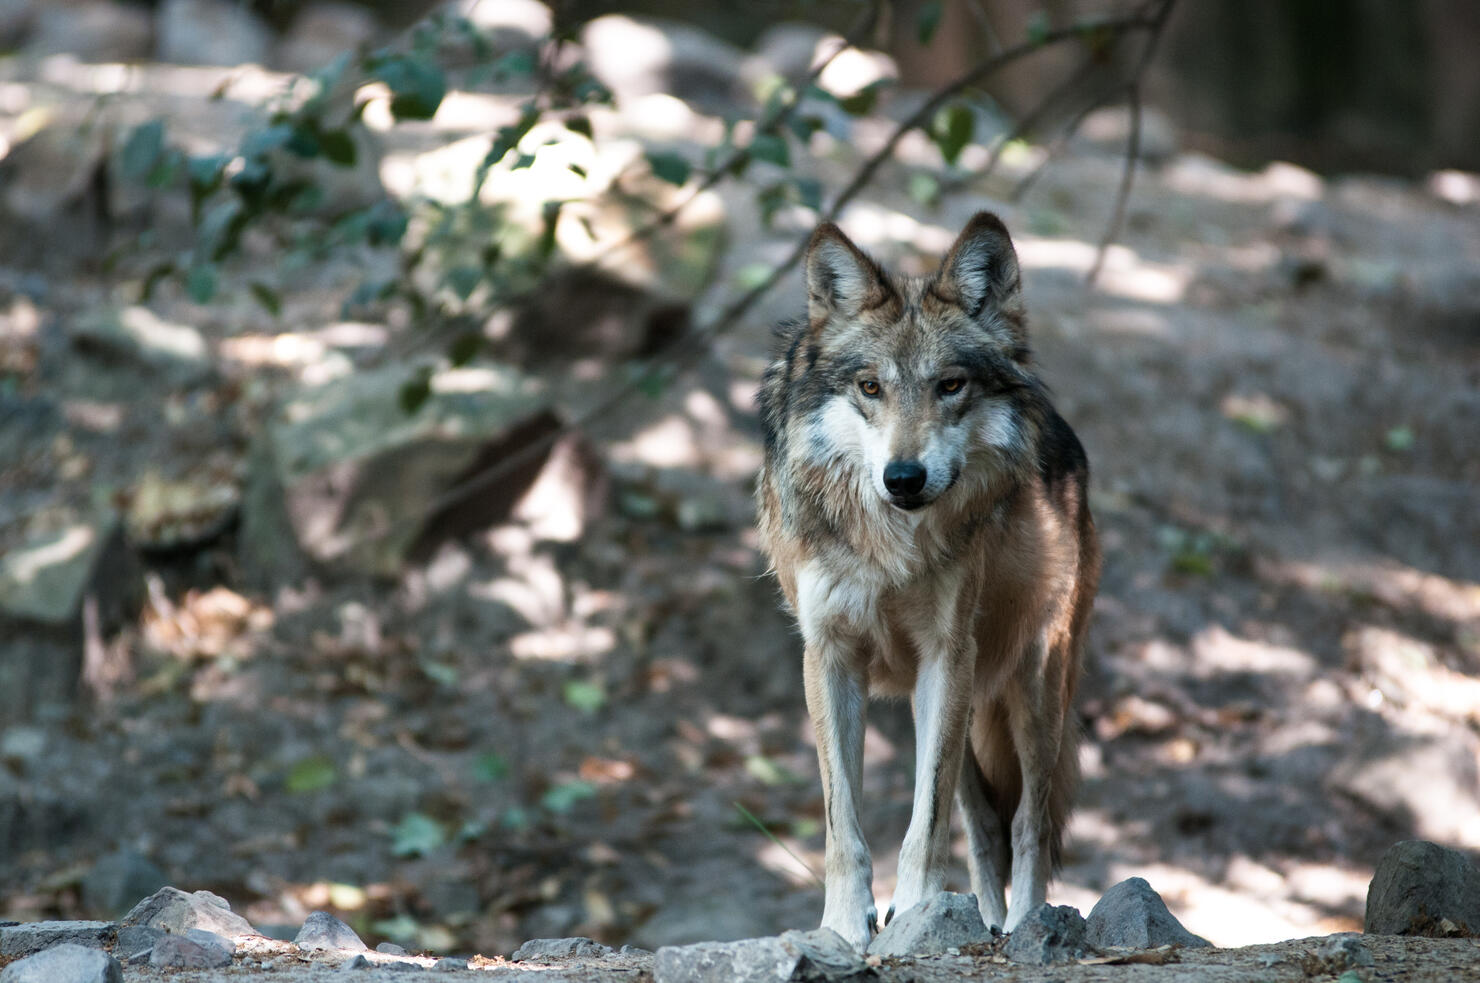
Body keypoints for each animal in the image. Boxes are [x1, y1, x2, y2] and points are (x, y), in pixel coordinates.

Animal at [763, 211, 1101, 947]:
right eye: (870, 387)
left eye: (950, 385)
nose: (904, 477)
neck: (889, 545)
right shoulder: (829, 659)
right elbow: (844, 824)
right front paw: (846, 928)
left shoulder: (945, 657)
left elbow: (926, 818)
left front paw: (915, 912)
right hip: (972, 707)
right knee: (983, 828)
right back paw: (987, 922)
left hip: (1032, 688)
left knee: (1028, 823)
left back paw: (1026, 926)